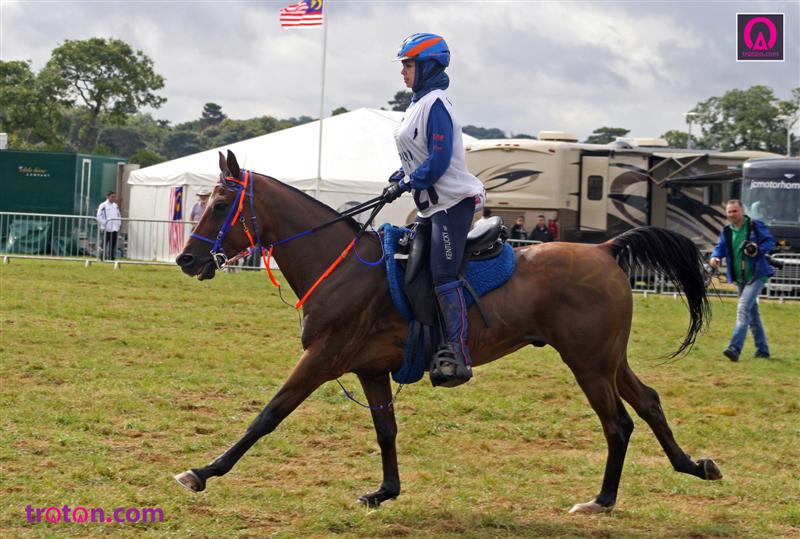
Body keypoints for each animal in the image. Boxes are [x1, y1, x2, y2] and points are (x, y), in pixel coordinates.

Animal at [174, 150, 721, 514]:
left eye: (219, 204)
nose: (187, 259)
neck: (343, 265)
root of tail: (606, 249)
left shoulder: (322, 359)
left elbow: (267, 415)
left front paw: (202, 472)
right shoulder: (369, 369)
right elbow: (386, 431)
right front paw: (385, 491)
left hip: (588, 364)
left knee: (619, 423)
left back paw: (602, 500)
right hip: (608, 360)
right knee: (648, 402)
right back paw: (692, 466)